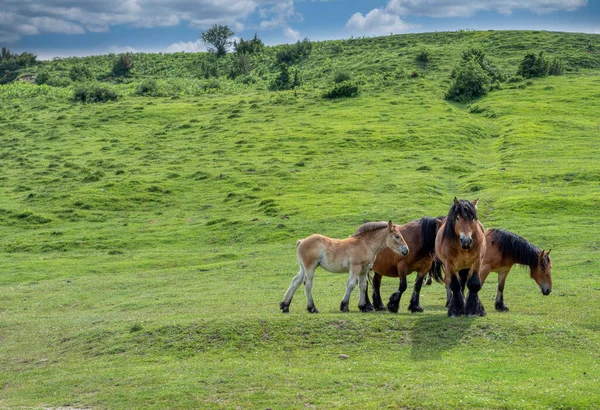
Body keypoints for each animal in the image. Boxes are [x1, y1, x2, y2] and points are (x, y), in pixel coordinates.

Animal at [280, 221, 410, 314]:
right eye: (397, 236)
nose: (406, 251)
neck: (365, 245)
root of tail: (301, 241)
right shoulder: (355, 267)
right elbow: (351, 284)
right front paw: (344, 306)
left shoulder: (364, 270)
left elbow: (362, 286)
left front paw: (363, 307)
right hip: (310, 267)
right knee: (307, 284)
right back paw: (312, 308)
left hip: (303, 268)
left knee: (295, 282)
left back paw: (285, 306)